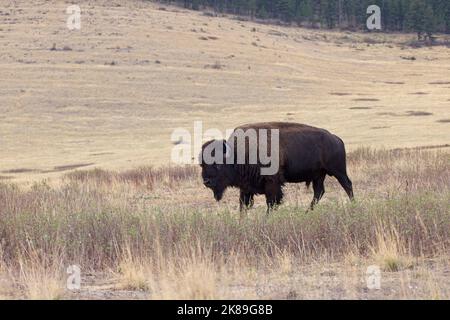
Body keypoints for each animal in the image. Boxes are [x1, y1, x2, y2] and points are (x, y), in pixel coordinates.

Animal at [199, 122, 354, 212]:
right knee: (319, 192)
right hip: (319, 175)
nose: (206, 182)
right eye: (202, 164)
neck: (239, 153)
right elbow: (244, 204)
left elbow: (271, 202)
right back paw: (307, 212)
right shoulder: (246, 186)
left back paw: (354, 206)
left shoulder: (272, 183)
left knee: (347, 185)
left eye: (218, 164)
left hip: (338, 171)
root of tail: (336, 139)